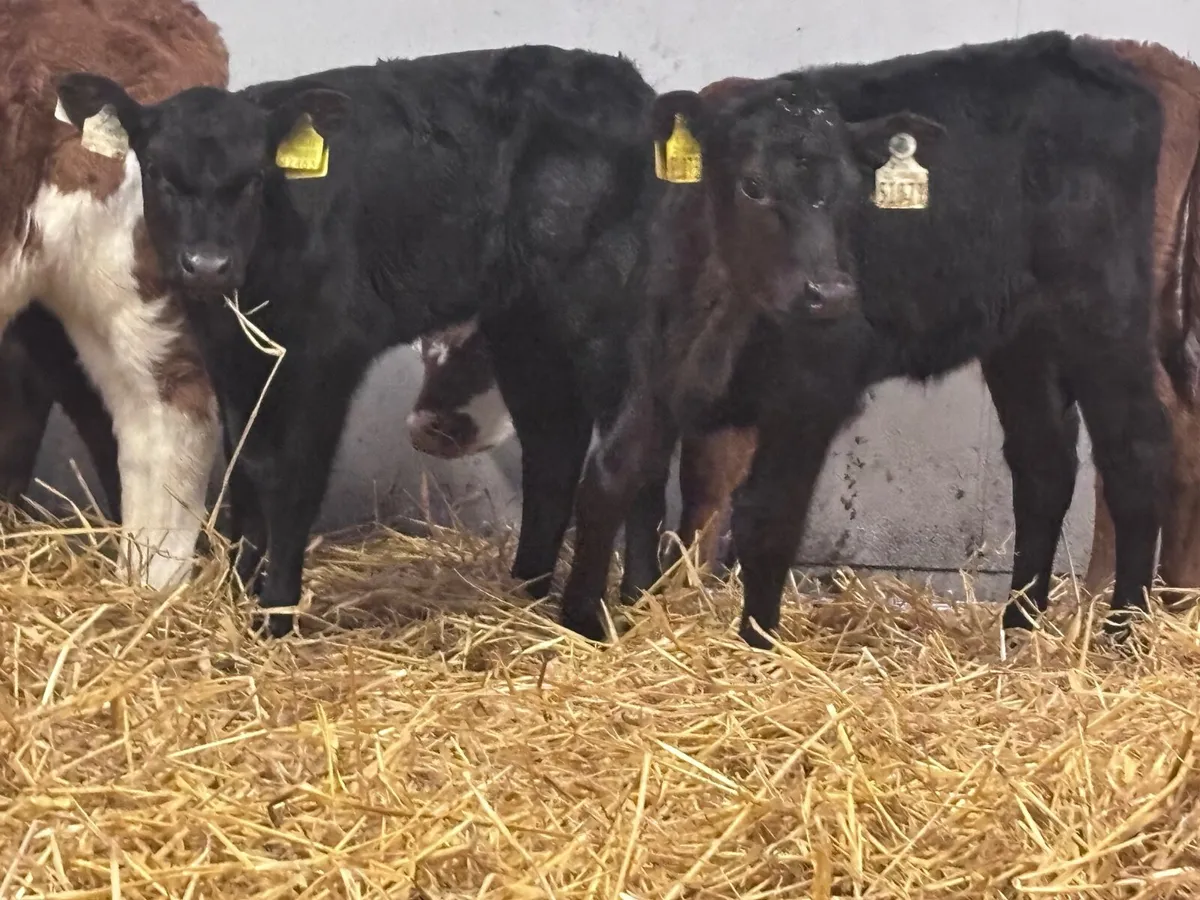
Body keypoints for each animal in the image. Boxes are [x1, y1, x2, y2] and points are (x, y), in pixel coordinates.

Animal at [53, 45, 682, 637]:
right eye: (160, 173)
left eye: (254, 178)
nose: (207, 264)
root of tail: (627, 85)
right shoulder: (232, 354)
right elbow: (247, 465)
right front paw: (236, 591)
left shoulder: (326, 355)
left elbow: (293, 476)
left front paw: (274, 614)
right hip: (525, 322)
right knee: (555, 445)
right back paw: (541, 593)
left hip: (605, 304)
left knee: (622, 451)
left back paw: (583, 618)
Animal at [550, 32, 1170, 648]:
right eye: (752, 186)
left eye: (852, 192)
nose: (832, 292)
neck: (720, 312)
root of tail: (1079, 52)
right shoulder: (654, 365)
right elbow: (610, 475)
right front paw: (579, 622)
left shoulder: (813, 390)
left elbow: (768, 516)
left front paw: (759, 642)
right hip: (1022, 338)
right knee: (1044, 461)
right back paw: (1017, 629)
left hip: (1105, 310)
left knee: (1137, 449)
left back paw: (1124, 633)